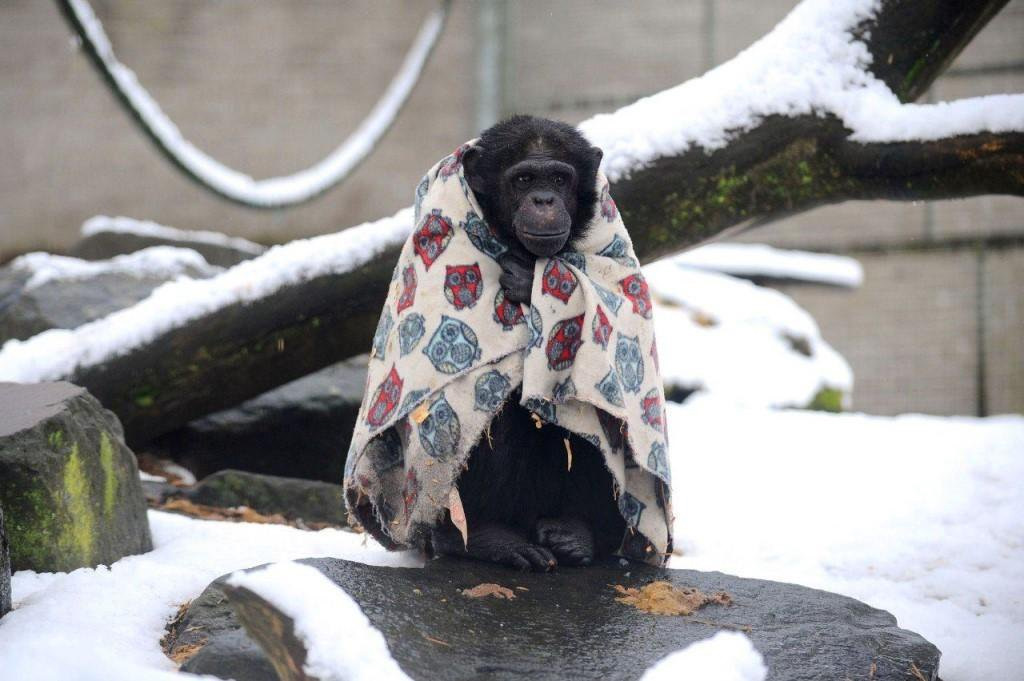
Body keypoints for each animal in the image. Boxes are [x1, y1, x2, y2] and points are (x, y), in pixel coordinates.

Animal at [428, 115, 626, 569]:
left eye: (559, 178)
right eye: (523, 179)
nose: (543, 199)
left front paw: (531, 280)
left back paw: (576, 534)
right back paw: (486, 539)